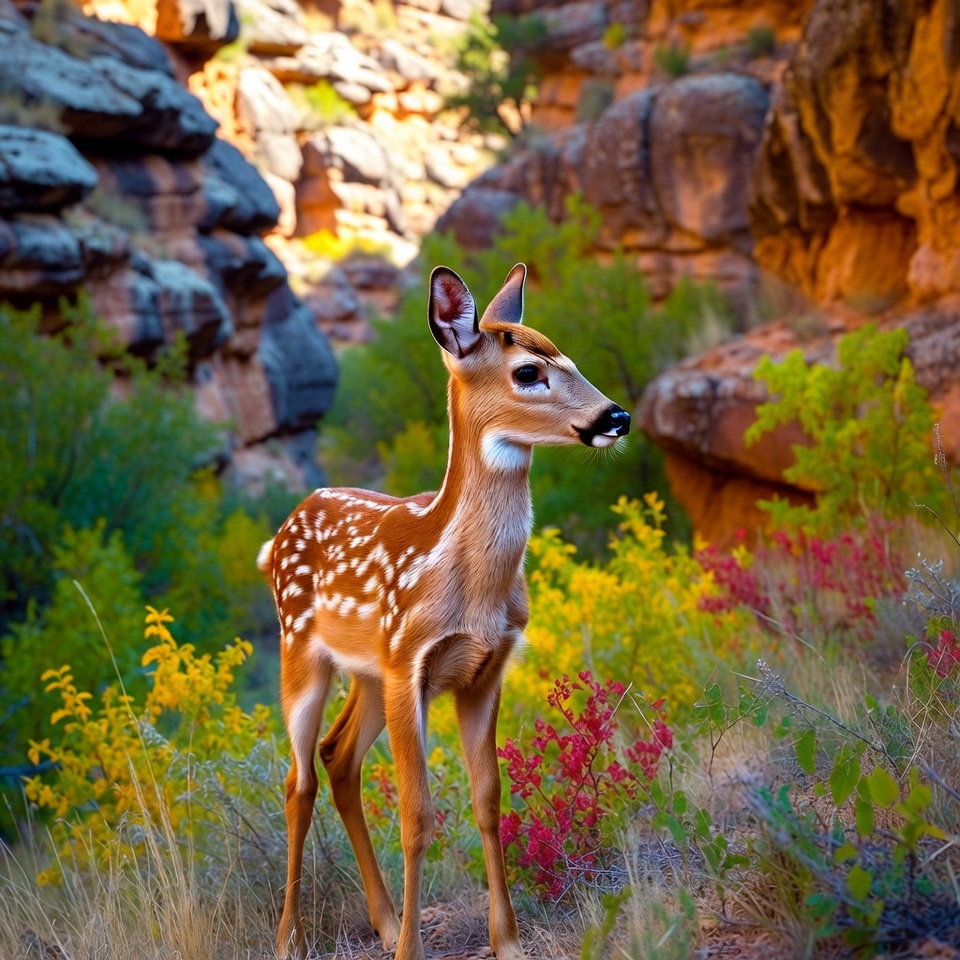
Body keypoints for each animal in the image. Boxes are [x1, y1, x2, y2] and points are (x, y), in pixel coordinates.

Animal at [258, 263, 631, 960]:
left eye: (568, 356)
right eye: (528, 372)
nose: (615, 415)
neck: (472, 589)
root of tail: (281, 531)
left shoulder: (482, 669)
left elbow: (488, 799)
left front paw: (507, 941)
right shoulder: (411, 661)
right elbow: (417, 816)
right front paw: (412, 949)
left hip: (370, 673)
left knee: (336, 756)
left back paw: (381, 922)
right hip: (303, 649)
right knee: (299, 781)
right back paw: (289, 938)